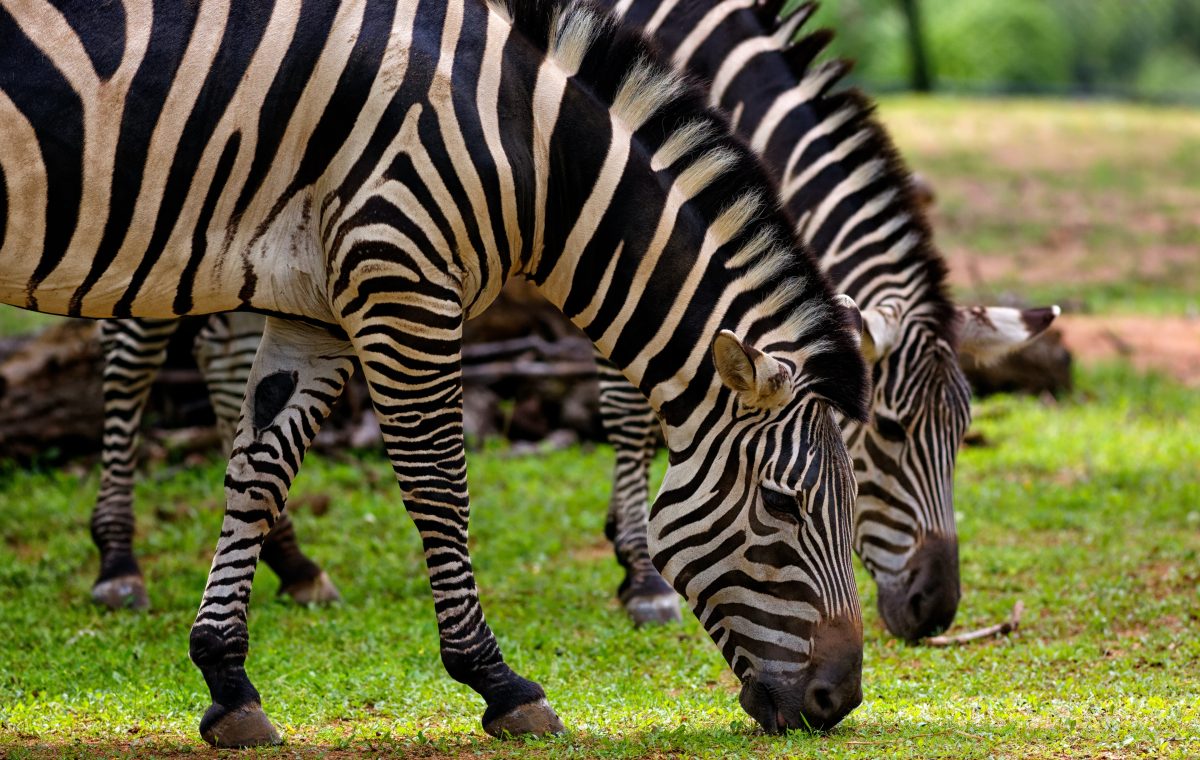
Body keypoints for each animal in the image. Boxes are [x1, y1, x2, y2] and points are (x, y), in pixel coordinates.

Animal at [592, 0, 1060, 637]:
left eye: (964, 431)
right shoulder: (620, 247)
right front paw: (644, 579)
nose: (935, 612)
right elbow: (631, 412)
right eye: (889, 428)